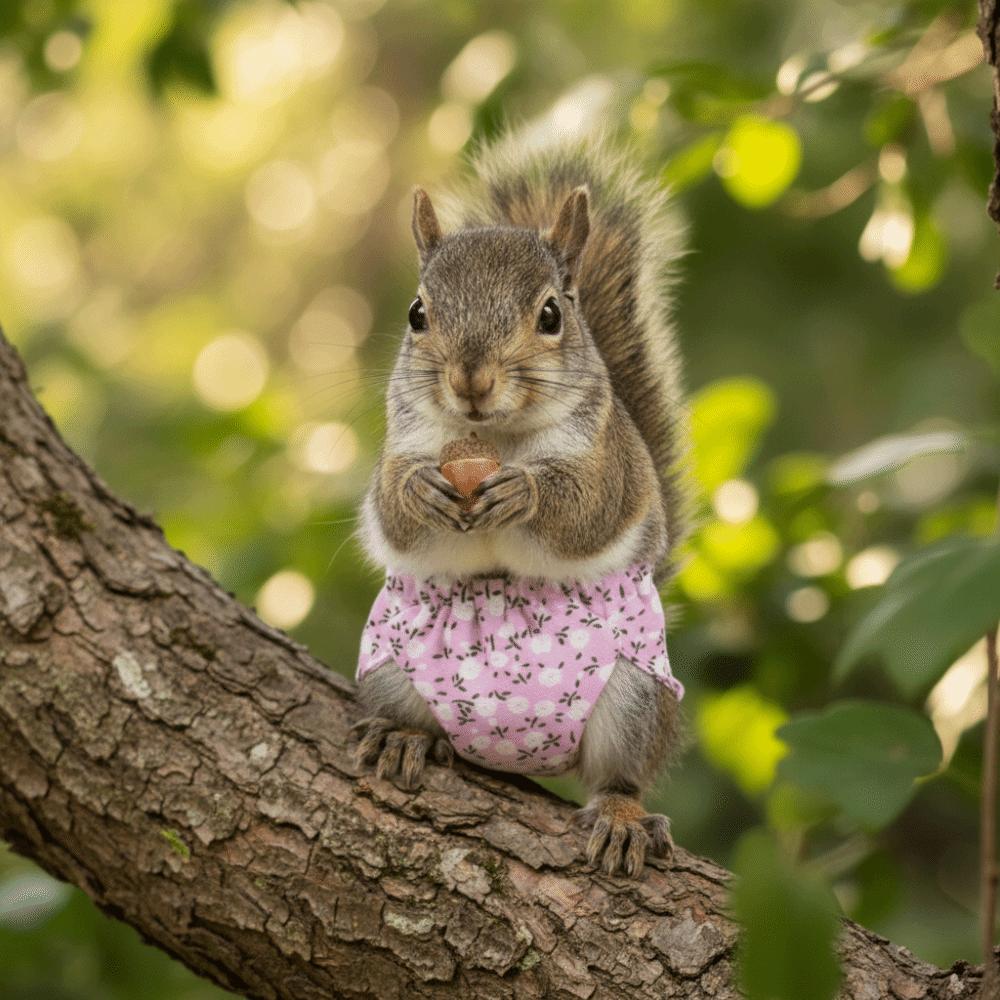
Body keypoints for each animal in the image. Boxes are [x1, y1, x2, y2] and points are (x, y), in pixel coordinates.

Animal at [350, 128, 688, 878]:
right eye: (418, 313)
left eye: (551, 315)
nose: (471, 379)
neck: (493, 436)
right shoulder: (400, 442)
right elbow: (390, 507)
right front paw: (418, 490)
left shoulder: (608, 459)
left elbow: (586, 508)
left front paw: (525, 492)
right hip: (392, 669)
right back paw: (407, 739)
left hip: (632, 697)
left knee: (620, 776)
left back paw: (621, 816)